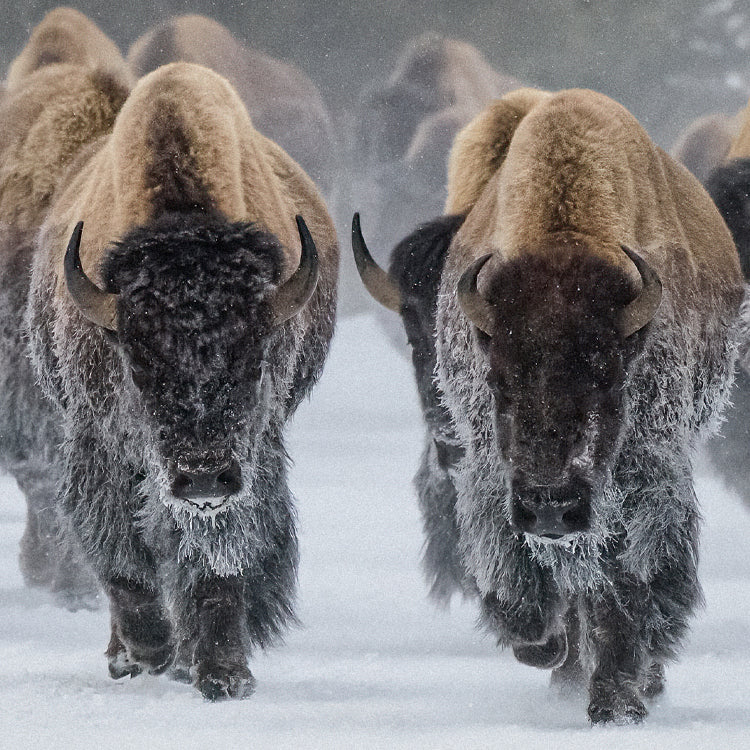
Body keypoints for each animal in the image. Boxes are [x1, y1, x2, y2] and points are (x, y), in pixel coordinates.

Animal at [23, 60, 340, 704]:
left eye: (257, 360)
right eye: (137, 365)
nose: (202, 478)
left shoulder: (248, 461)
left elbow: (216, 561)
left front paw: (223, 674)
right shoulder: (101, 446)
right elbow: (122, 557)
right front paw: (147, 651)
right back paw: (131, 656)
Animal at [352, 86, 748, 724]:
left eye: (611, 376)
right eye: (498, 379)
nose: (550, 508)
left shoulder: (640, 482)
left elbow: (624, 586)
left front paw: (617, 701)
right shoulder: (495, 478)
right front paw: (542, 646)